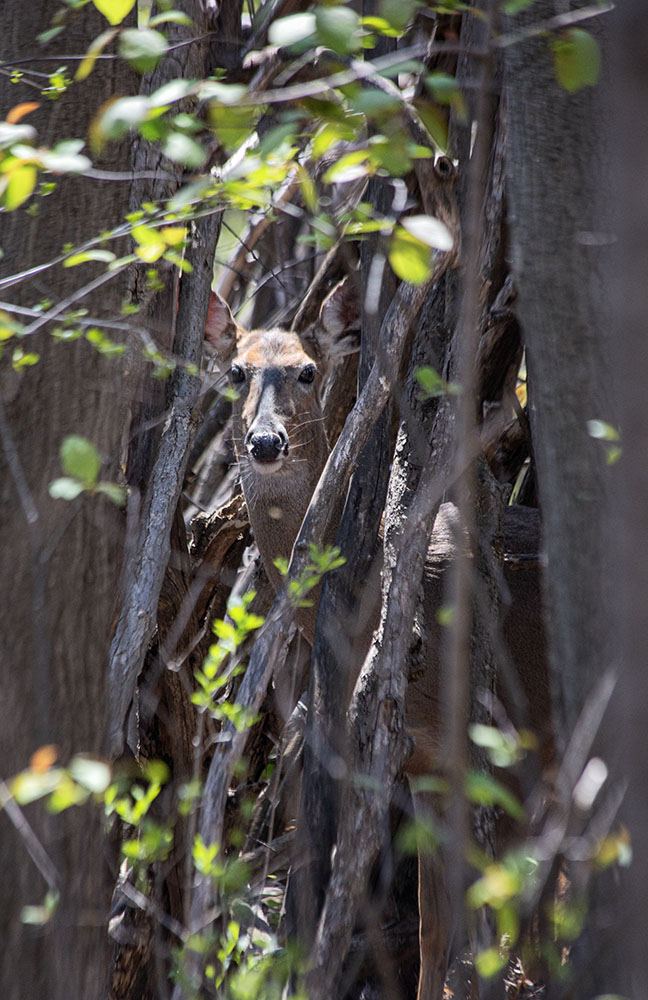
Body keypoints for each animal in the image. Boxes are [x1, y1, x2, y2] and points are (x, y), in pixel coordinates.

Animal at [205, 276, 548, 1000]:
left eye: (307, 370)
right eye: (236, 371)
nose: (266, 442)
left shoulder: (486, 749)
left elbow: (478, 917)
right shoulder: (423, 762)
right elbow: (434, 926)